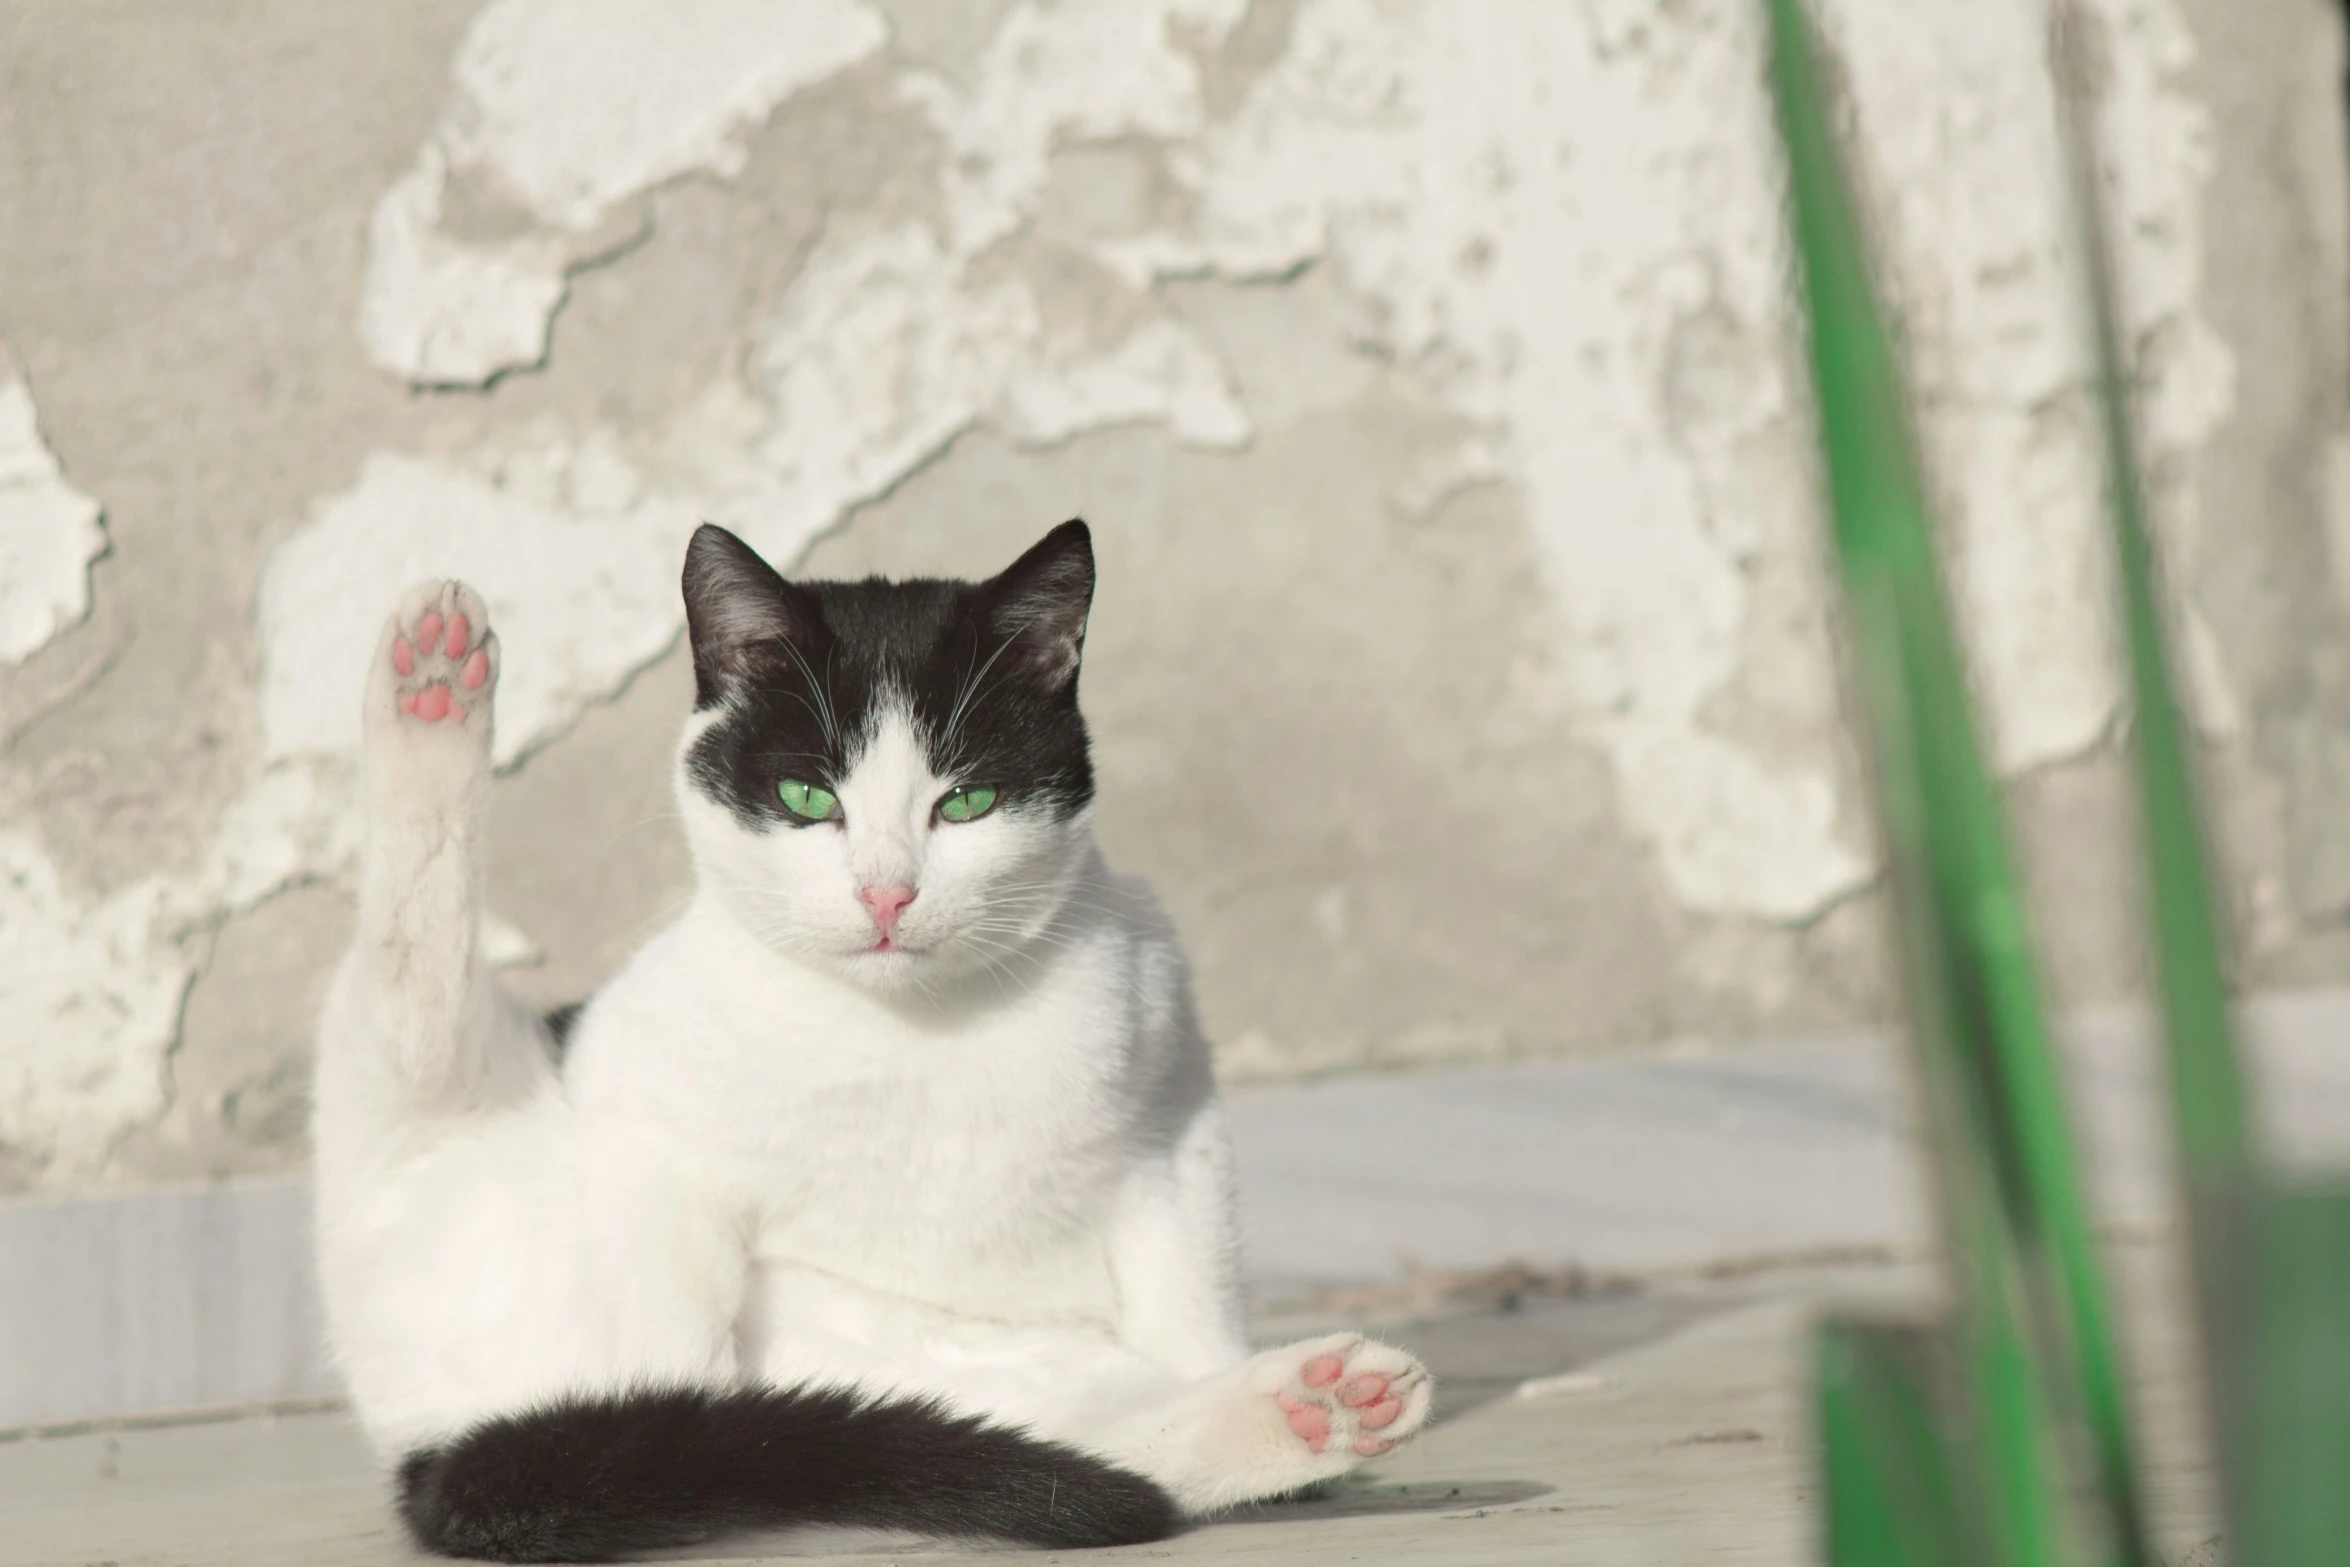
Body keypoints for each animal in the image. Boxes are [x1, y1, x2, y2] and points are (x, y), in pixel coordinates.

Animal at [310, 521, 1428, 1559]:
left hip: (997, 1387)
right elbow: (674, 1337)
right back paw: (430, 681)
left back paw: (1312, 1405)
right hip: (431, 1100)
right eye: (809, 799)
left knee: (1112, 1437)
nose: (887, 892)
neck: (907, 1033)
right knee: (413, 977)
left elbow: (1191, 1301)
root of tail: (438, 1418)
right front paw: (680, 1437)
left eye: (965, 801)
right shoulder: (648, 1139)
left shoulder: (1173, 1120)